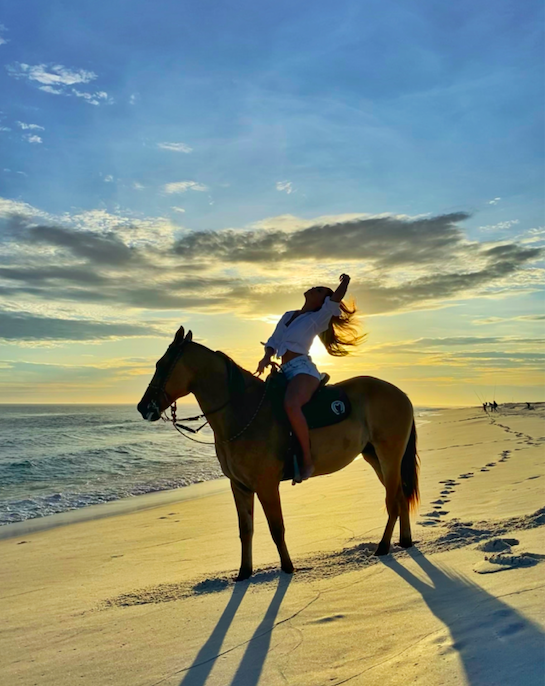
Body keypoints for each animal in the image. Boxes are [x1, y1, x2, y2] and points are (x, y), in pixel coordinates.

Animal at [138, 326, 418, 580]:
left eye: (162, 365)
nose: (143, 407)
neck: (242, 411)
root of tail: (401, 394)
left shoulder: (266, 485)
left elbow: (276, 528)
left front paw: (288, 568)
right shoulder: (239, 486)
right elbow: (246, 530)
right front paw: (244, 573)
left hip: (389, 456)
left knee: (393, 500)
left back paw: (383, 547)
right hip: (375, 457)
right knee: (400, 497)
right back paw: (404, 541)